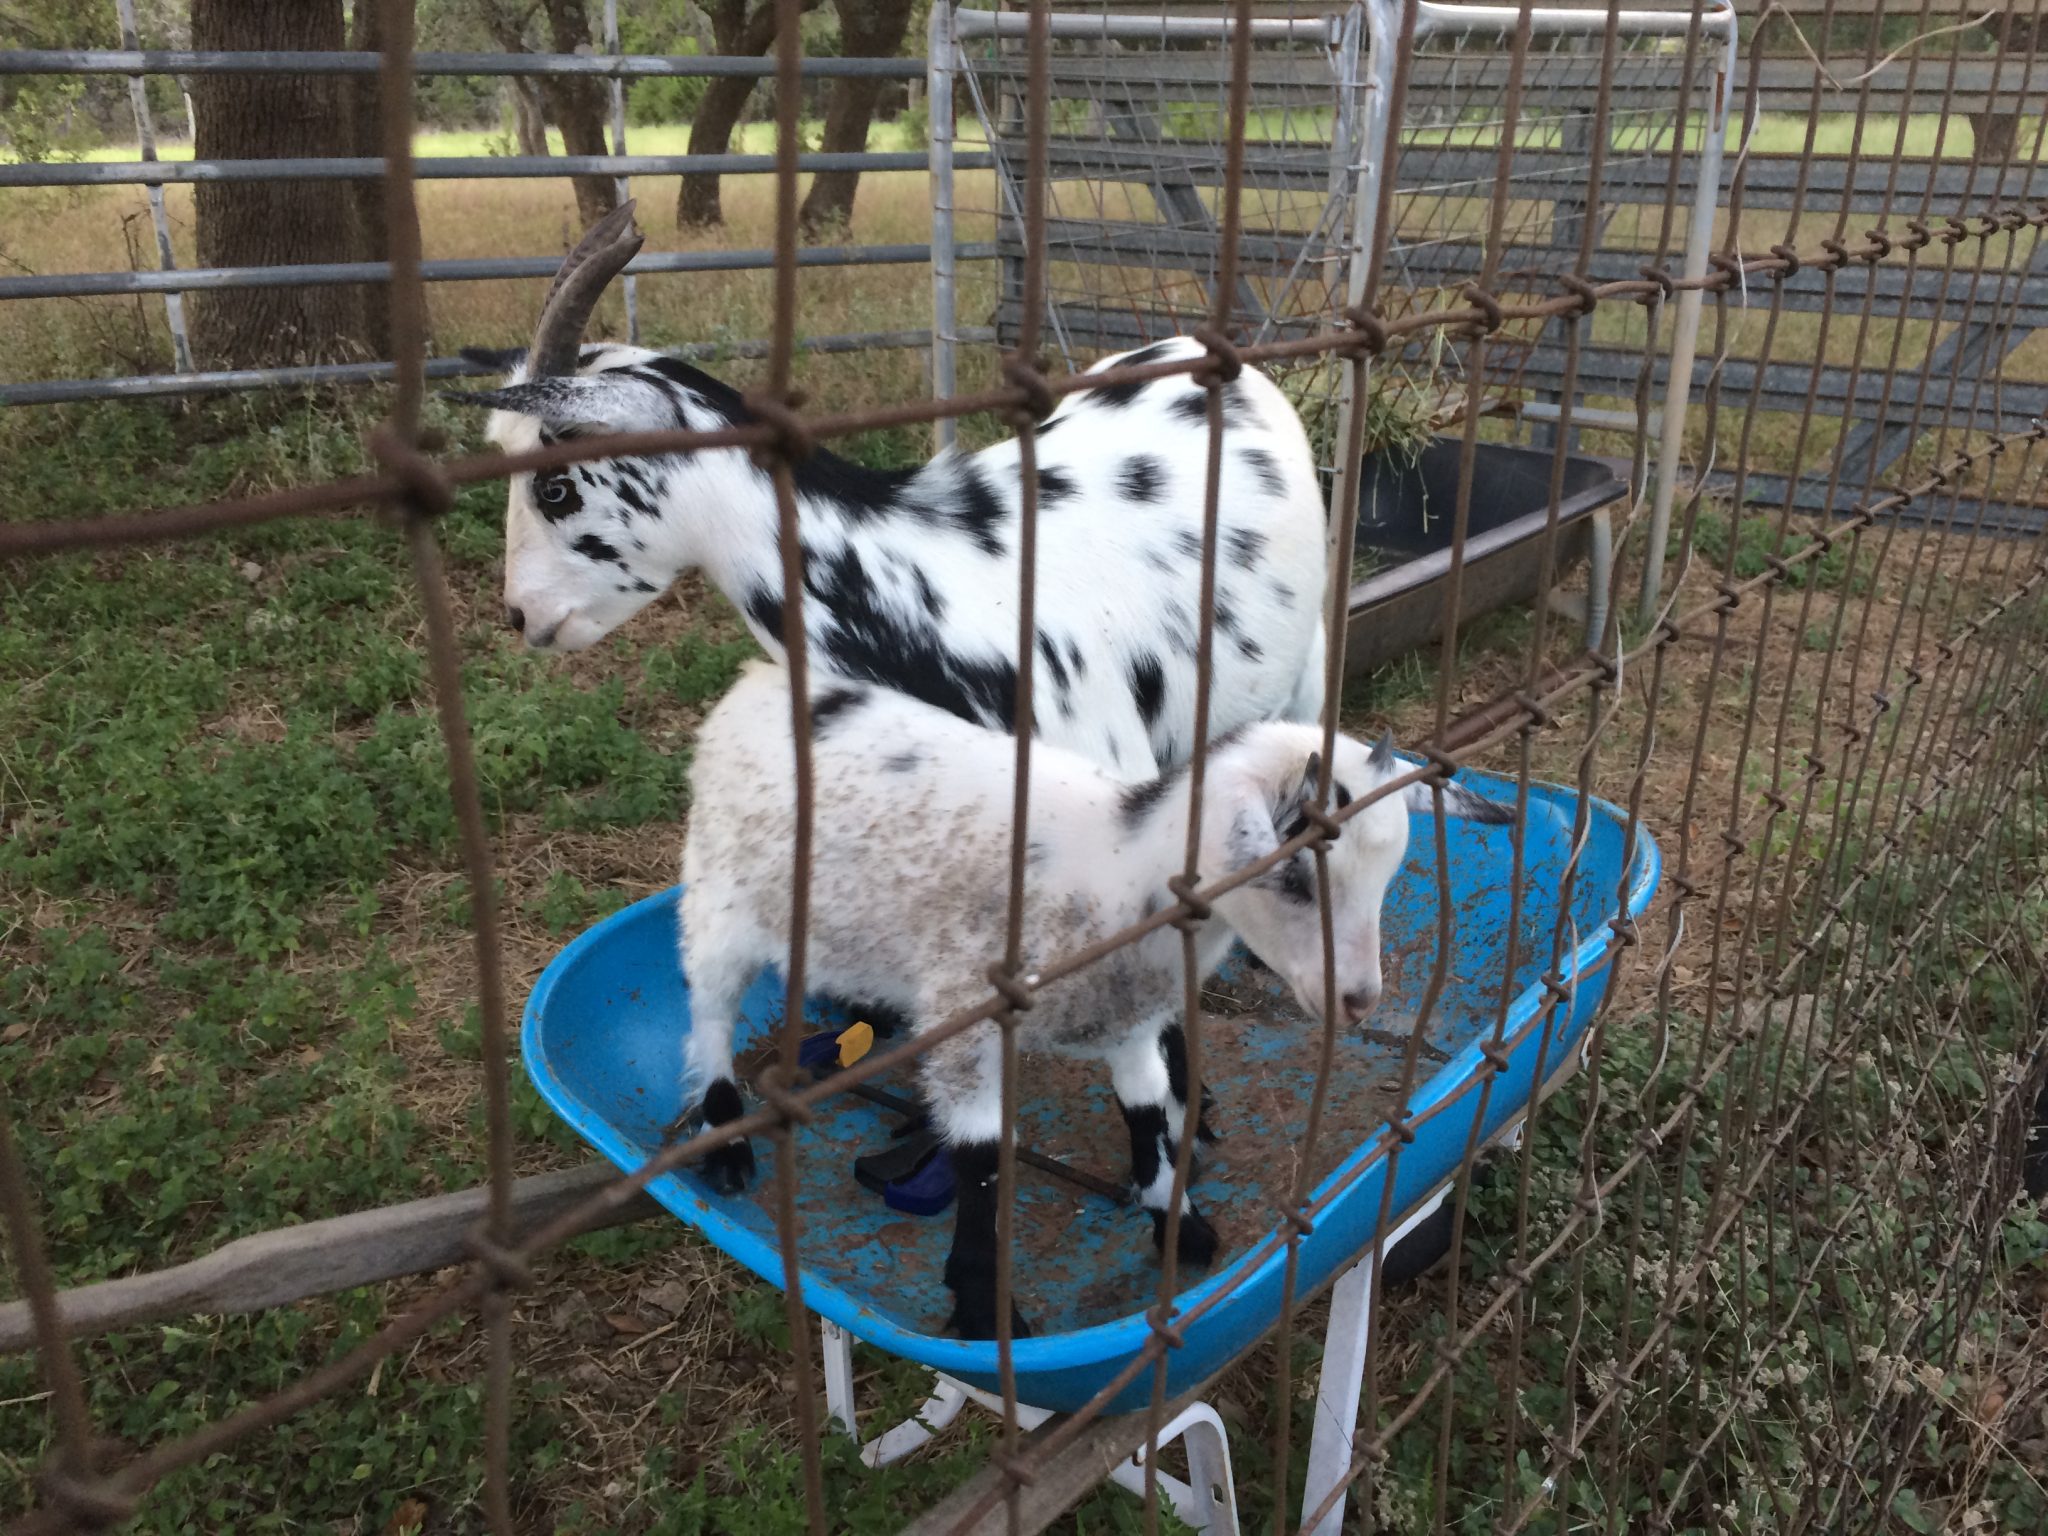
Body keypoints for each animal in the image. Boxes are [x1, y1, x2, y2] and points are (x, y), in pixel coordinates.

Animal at [680, 660, 1512, 1338]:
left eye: (1387, 876)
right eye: (1294, 878)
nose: (1360, 1000)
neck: (1122, 871)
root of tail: (750, 684)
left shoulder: (1133, 1024)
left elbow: (1146, 1114)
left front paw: (1180, 1226)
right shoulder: (965, 1023)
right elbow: (982, 1159)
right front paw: (984, 1307)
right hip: (719, 899)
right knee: (708, 1016)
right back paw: (725, 1138)